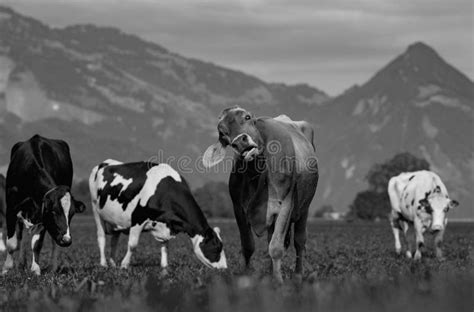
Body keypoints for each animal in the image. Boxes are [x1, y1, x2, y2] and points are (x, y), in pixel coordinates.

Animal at [1, 135, 86, 276]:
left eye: (72, 214)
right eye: (53, 211)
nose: (67, 240)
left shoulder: (42, 217)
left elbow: (37, 244)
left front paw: (35, 269)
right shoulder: (11, 208)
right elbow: (12, 243)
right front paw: (6, 269)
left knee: (53, 241)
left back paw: (53, 267)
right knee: (22, 236)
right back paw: (21, 264)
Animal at [90, 158, 228, 270]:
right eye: (217, 247)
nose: (224, 269)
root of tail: (104, 163)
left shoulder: (166, 225)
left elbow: (165, 245)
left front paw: (164, 266)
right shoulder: (138, 218)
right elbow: (133, 245)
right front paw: (124, 265)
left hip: (116, 220)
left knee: (114, 240)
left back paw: (113, 263)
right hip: (95, 209)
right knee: (101, 238)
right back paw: (104, 264)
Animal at [201, 106, 318, 282]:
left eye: (247, 117)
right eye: (221, 131)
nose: (240, 141)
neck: (257, 170)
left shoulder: (286, 204)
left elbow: (276, 247)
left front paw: (279, 282)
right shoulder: (238, 208)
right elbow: (248, 246)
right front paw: (246, 276)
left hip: (304, 208)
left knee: (299, 241)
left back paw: (297, 276)